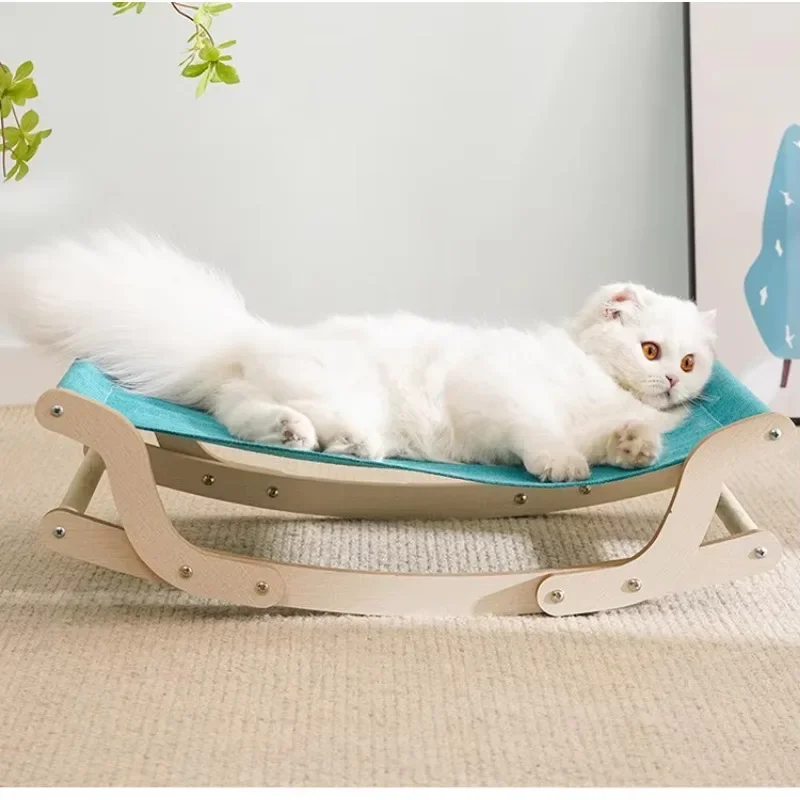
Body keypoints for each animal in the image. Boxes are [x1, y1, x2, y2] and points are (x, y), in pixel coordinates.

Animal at [1, 230, 716, 481]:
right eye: (651, 350)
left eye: (689, 364)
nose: (671, 384)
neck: (600, 387)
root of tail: (246, 337)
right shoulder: (508, 393)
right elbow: (544, 434)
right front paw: (561, 465)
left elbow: (613, 439)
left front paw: (636, 446)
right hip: (344, 385)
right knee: (287, 414)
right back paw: (341, 441)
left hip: (269, 392)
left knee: (243, 413)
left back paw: (301, 435)